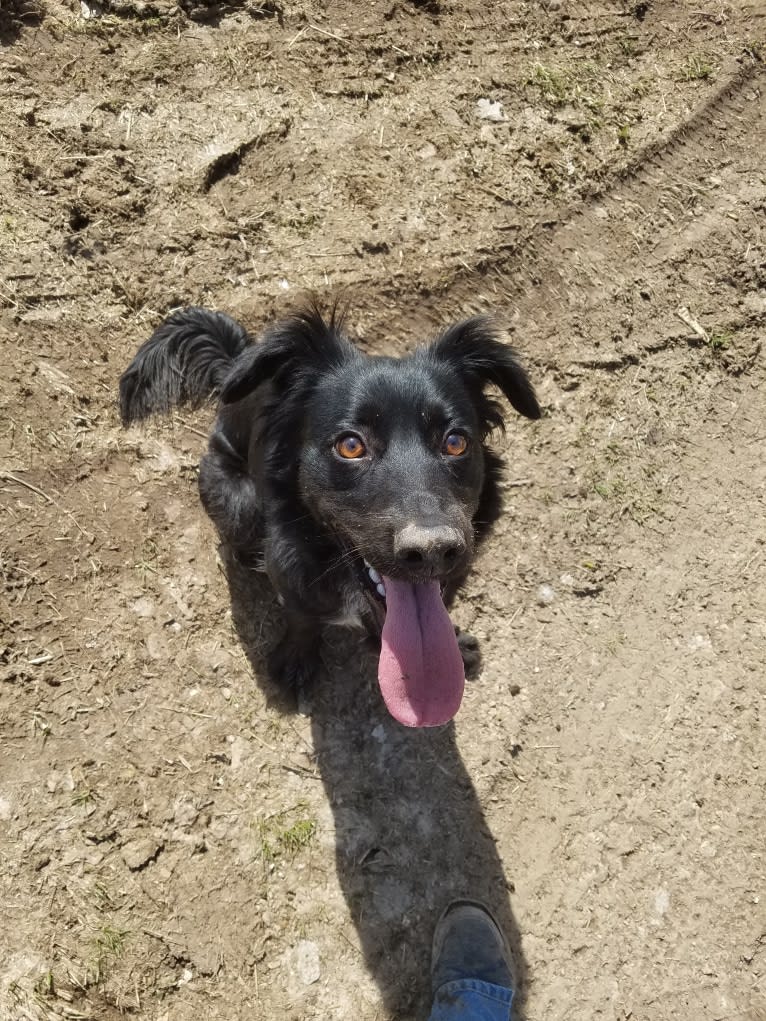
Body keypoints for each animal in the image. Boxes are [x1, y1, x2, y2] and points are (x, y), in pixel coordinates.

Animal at [118, 300, 539, 726]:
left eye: (455, 442)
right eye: (350, 445)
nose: (434, 550)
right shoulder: (288, 570)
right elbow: (301, 618)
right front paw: (296, 660)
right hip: (239, 499)